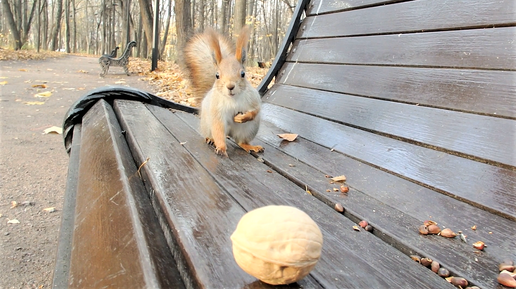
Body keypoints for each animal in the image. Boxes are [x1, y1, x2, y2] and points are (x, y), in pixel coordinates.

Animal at [184, 26, 264, 156]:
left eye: (243, 74)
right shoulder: (217, 111)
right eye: (217, 75)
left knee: (240, 141)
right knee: (216, 134)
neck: (233, 99)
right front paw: (221, 148)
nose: (230, 86)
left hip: (250, 129)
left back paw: (250, 146)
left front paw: (242, 117)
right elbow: (218, 128)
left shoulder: (253, 99)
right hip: (207, 125)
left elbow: (255, 111)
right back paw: (211, 140)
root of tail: (230, 133)